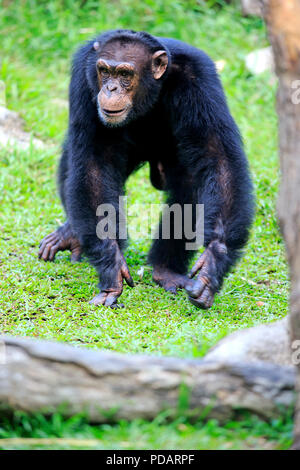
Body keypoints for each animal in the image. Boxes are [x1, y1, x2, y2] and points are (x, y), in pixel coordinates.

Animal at [38, 28, 253, 308]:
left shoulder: (199, 78)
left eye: (125, 74)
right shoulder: (84, 79)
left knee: (190, 186)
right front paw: (111, 265)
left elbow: (218, 157)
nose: (110, 87)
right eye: (104, 71)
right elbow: (95, 164)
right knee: (72, 164)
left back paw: (166, 270)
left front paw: (214, 260)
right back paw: (72, 234)